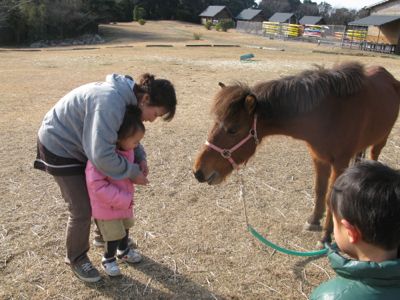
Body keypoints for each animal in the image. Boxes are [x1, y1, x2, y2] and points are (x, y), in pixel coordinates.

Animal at [192, 62, 398, 243]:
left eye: (233, 129)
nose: (198, 171)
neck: (329, 114)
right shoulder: (318, 158)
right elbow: (319, 190)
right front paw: (314, 220)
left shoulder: (339, 162)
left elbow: (330, 196)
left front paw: (326, 236)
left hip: (381, 139)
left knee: (374, 156)